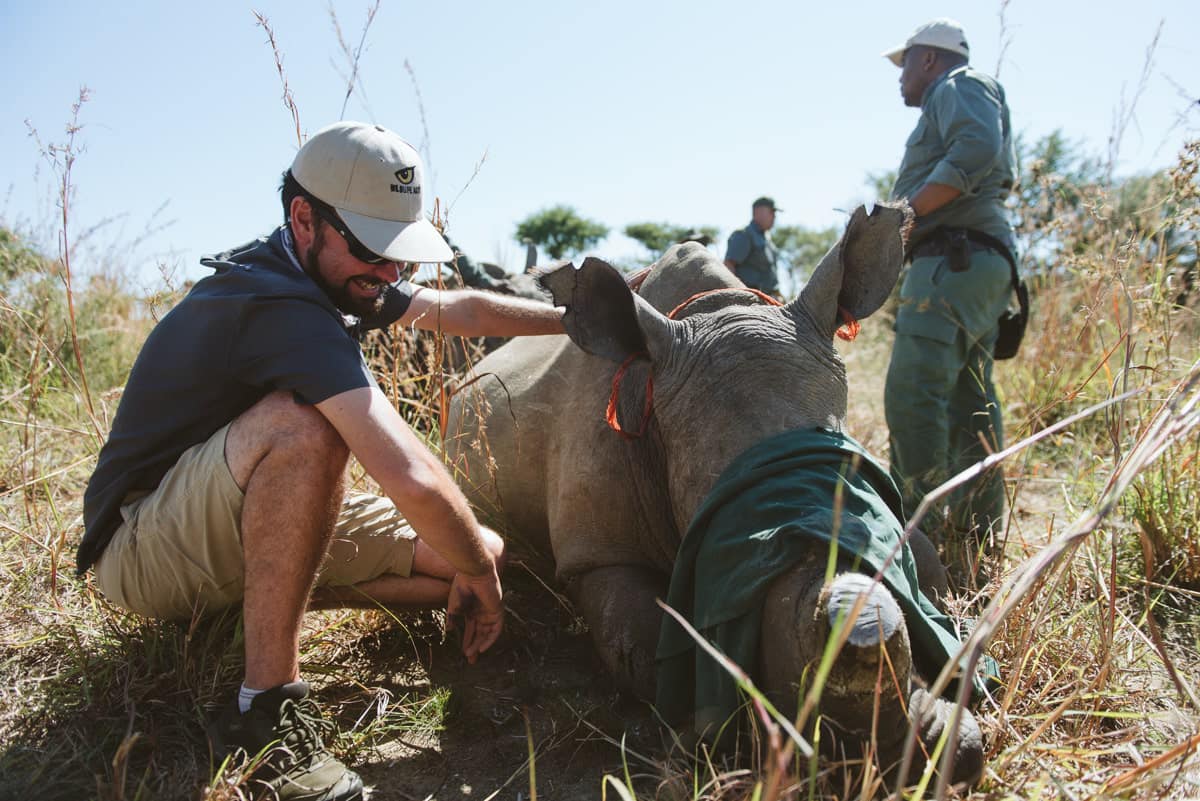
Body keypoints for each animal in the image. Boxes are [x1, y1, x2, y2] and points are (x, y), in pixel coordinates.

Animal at [444, 203, 984, 786]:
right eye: (727, 535)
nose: (869, 762)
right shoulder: (598, 552)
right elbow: (640, 641)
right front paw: (720, 734)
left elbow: (928, 563)